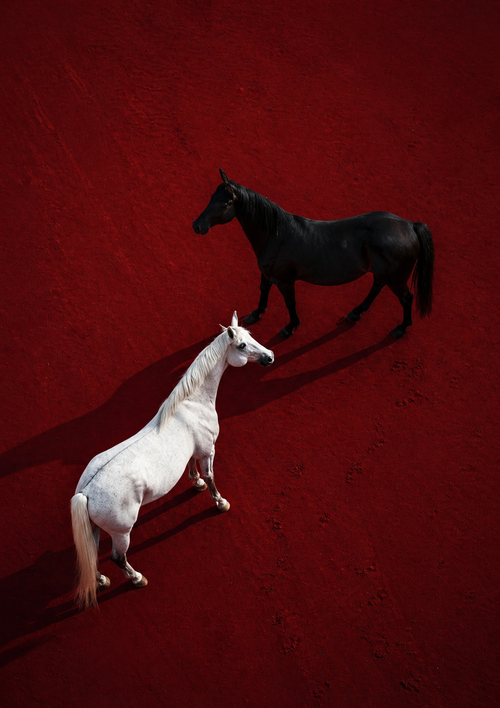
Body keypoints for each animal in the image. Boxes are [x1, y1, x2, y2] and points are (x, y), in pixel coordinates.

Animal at [71, 312, 274, 608]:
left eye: (251, 336)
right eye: (242, 346)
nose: (269, 356)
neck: (192, 404)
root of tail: (85, 491)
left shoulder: (195, 451)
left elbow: (193, 469)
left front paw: (196, 483)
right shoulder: (209, 450)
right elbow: (212, 477)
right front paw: (220, 502)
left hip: (95, 530)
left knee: (92, 554)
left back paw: (101, 581)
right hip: (122, 533)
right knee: (118, 558)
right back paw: (137, 579)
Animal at [193, 170, 434, 339]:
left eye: (225, 203)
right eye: (211, 196)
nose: (197, 225)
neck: (275, 234)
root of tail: (410, 225)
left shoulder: (285, 280)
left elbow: (290, 303)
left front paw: (290, 327)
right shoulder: (267, 273)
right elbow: (263, 290)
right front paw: (256, 313)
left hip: (397, 278)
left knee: (406, 298)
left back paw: (401, 328)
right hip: (384, 273)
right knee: (377, 286)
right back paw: (356, 312)